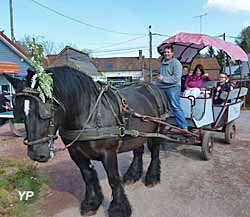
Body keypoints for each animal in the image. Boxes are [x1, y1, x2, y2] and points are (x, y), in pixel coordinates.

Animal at [5, 66, 169, 217]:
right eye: (20, 111)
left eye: (44, 110)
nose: (36, 154)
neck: (88, 114)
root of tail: (151, 86)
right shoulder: (76, 153)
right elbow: (88, 176)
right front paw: (92, 202)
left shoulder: (108, 153)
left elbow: (113, 179)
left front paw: (119, 208)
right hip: (137, 134)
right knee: (138, 151)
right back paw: (133, 175)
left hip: (157, 131)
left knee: (154, 152)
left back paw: (152, 177)